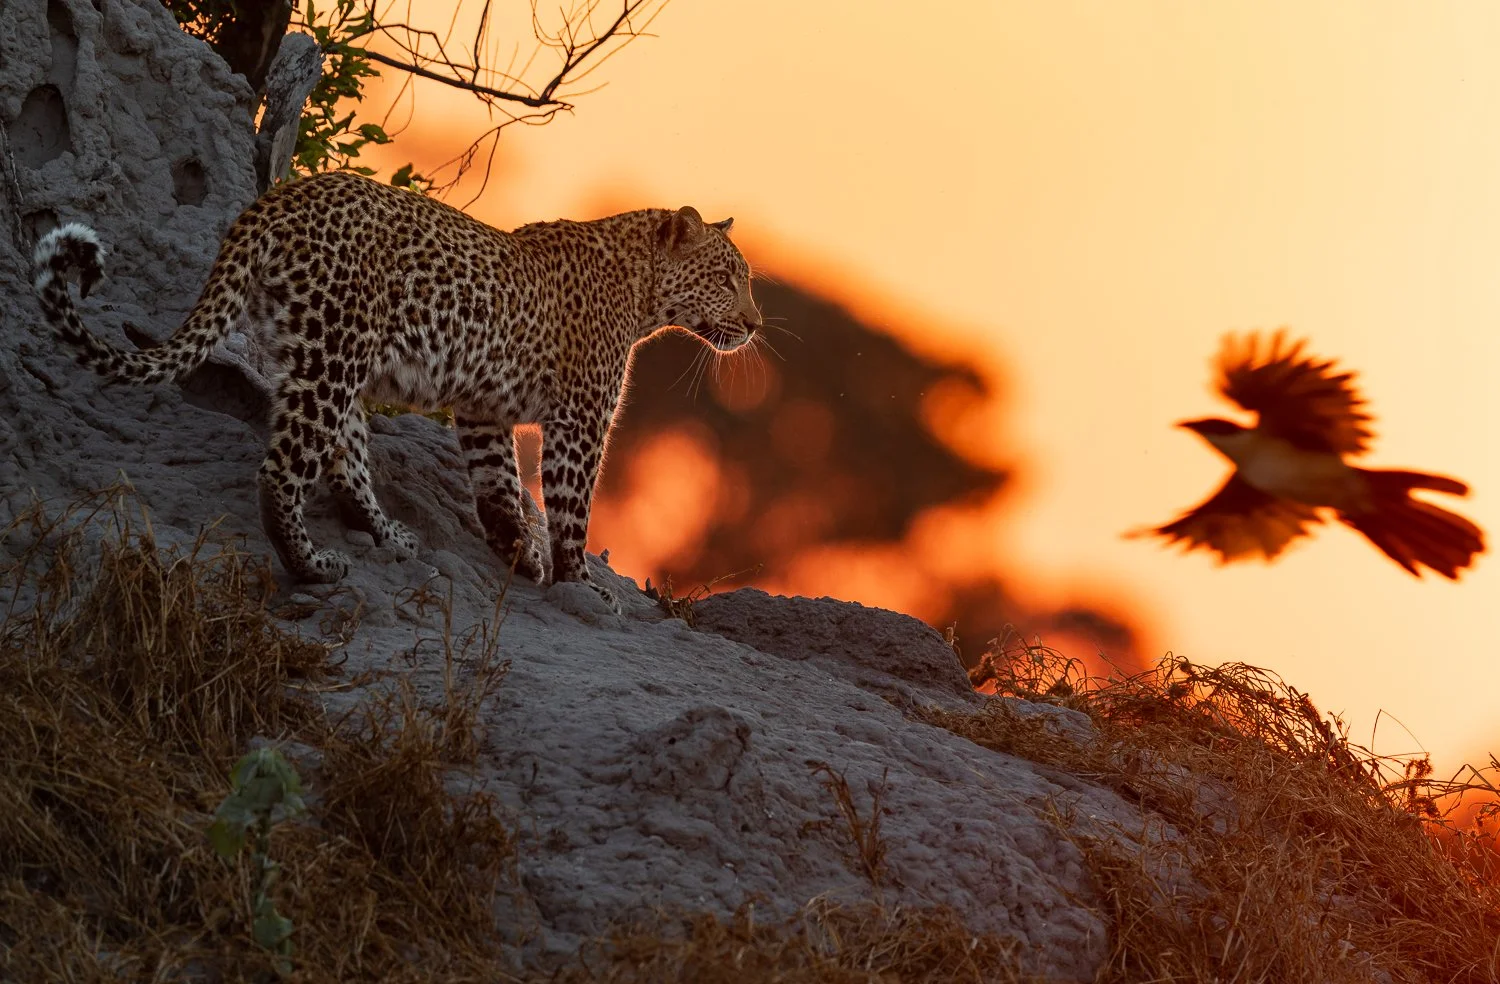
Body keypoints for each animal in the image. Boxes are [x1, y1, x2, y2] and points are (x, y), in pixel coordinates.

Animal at [31, 170, 763, 609]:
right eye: (728, 279)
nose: (756, 323)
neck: (643, 294)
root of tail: (276, 199)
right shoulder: (580, 420)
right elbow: (571, 507)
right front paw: (580, 584)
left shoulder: (482, 410)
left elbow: (498, 485)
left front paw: (517, 553)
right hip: (334, 355)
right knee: (282, 470)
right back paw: (313, 565)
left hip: (325, 359)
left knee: (345, 459)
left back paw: (388, 534)